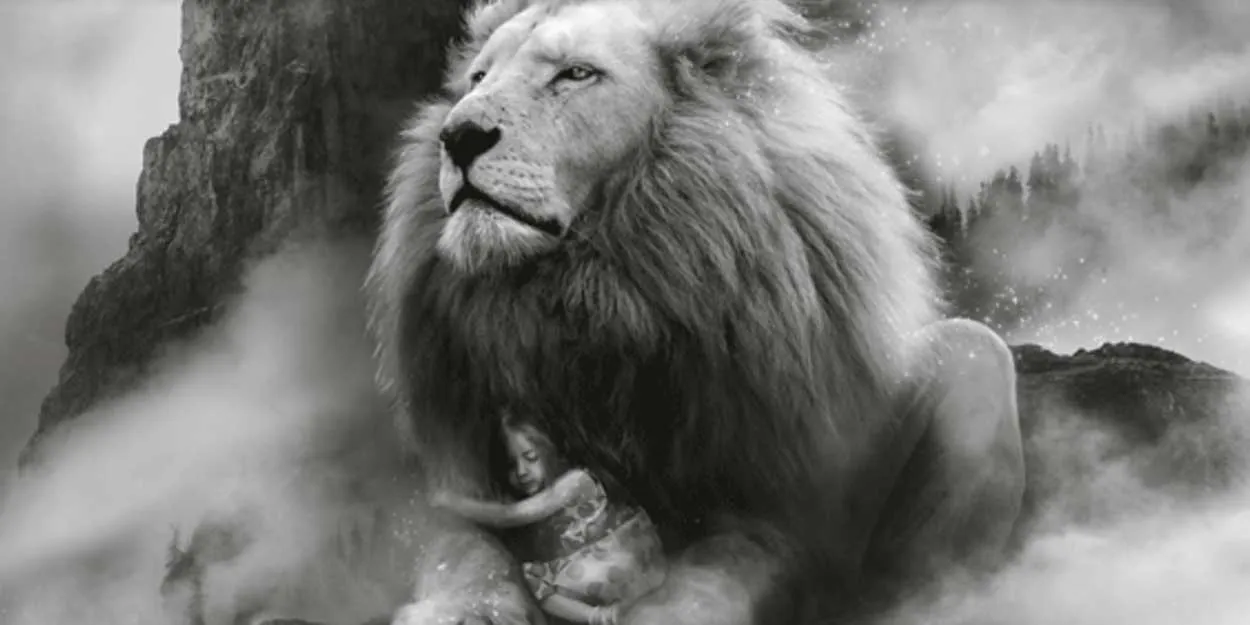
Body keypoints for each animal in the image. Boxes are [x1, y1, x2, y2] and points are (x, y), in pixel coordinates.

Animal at [365, 0, 1027, 623]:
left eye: (576, 73)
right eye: (477, 77)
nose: (459, 135)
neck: (598, 293)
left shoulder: (773, 493)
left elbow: (716, 571)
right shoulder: (469, 473)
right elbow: (466, 554)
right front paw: (463, 608)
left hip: (973, 366)